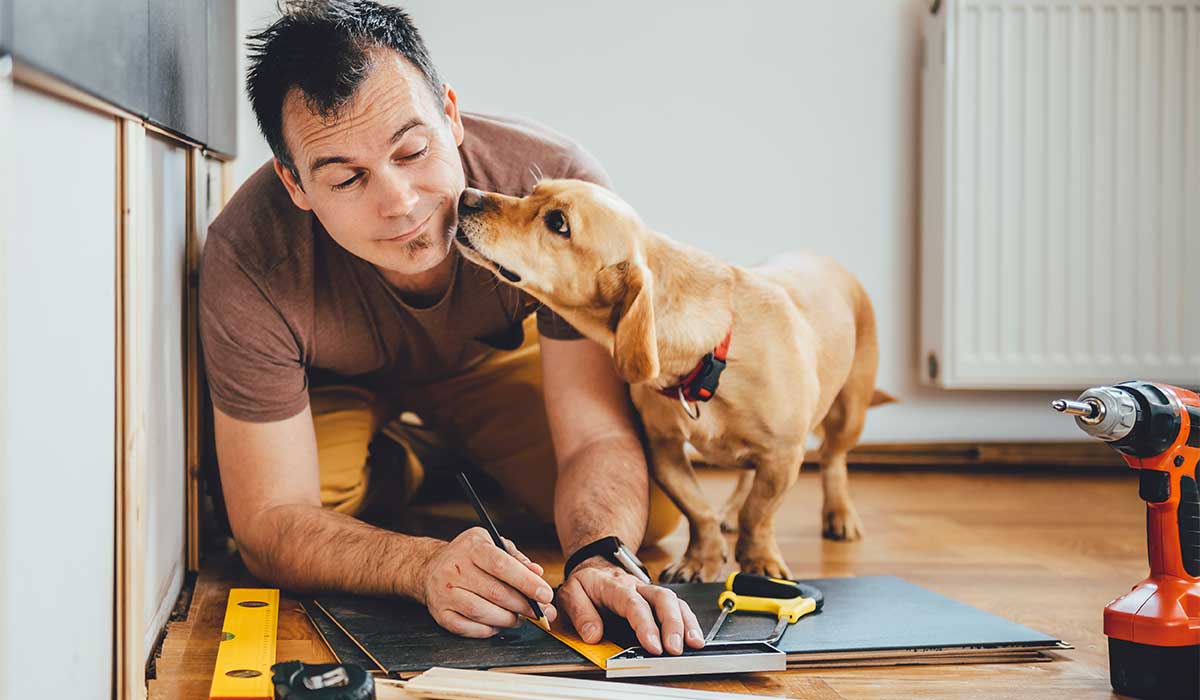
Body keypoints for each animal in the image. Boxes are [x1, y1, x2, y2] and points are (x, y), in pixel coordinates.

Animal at [453, 178, 897, 581]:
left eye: (558, 223)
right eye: (532, 191)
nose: (466, 196)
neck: (712, 354)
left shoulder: (784, 454)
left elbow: (759, 514)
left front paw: (759, 561)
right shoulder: (663, 448)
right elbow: (698, 509)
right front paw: (702, 559)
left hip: (848, 413)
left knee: (833, 460)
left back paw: (840, 514)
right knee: (745, 477)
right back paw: (730, 511)